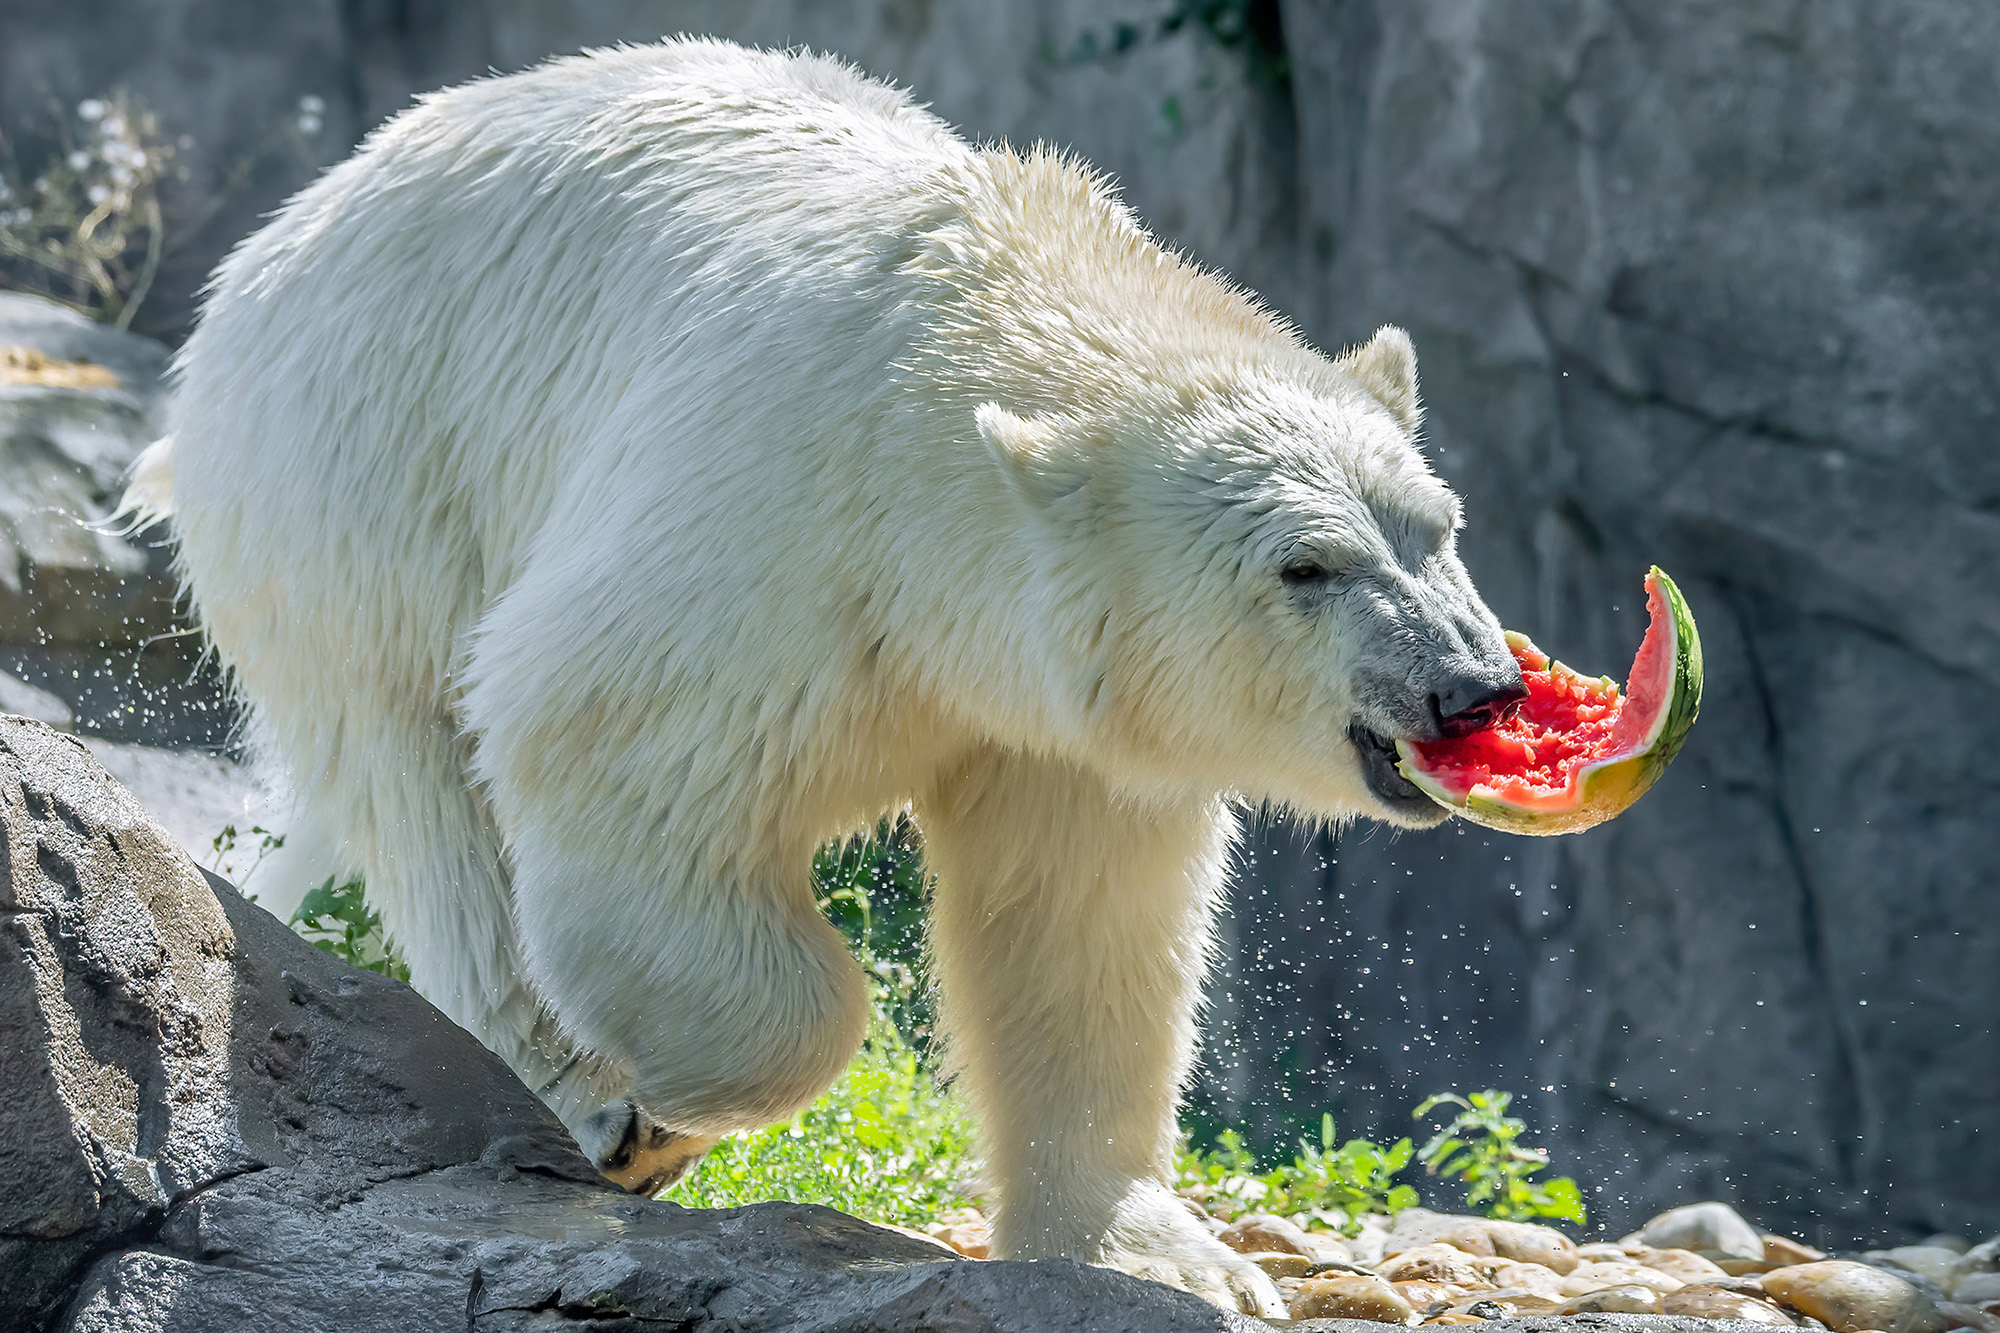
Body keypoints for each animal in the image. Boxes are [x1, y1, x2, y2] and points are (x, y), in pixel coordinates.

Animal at [125, 39, 1520, 1304]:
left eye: (1436, 527)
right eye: (1306, 566)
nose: (1472, 687)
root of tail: (275, 243)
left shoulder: (1056, 708)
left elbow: (1076, 916)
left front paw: (1155, 1251)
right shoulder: (780, 522)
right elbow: (596, 731)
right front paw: (674, 1101)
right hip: (366, 473)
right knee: (423, 777)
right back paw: (579, 1087)